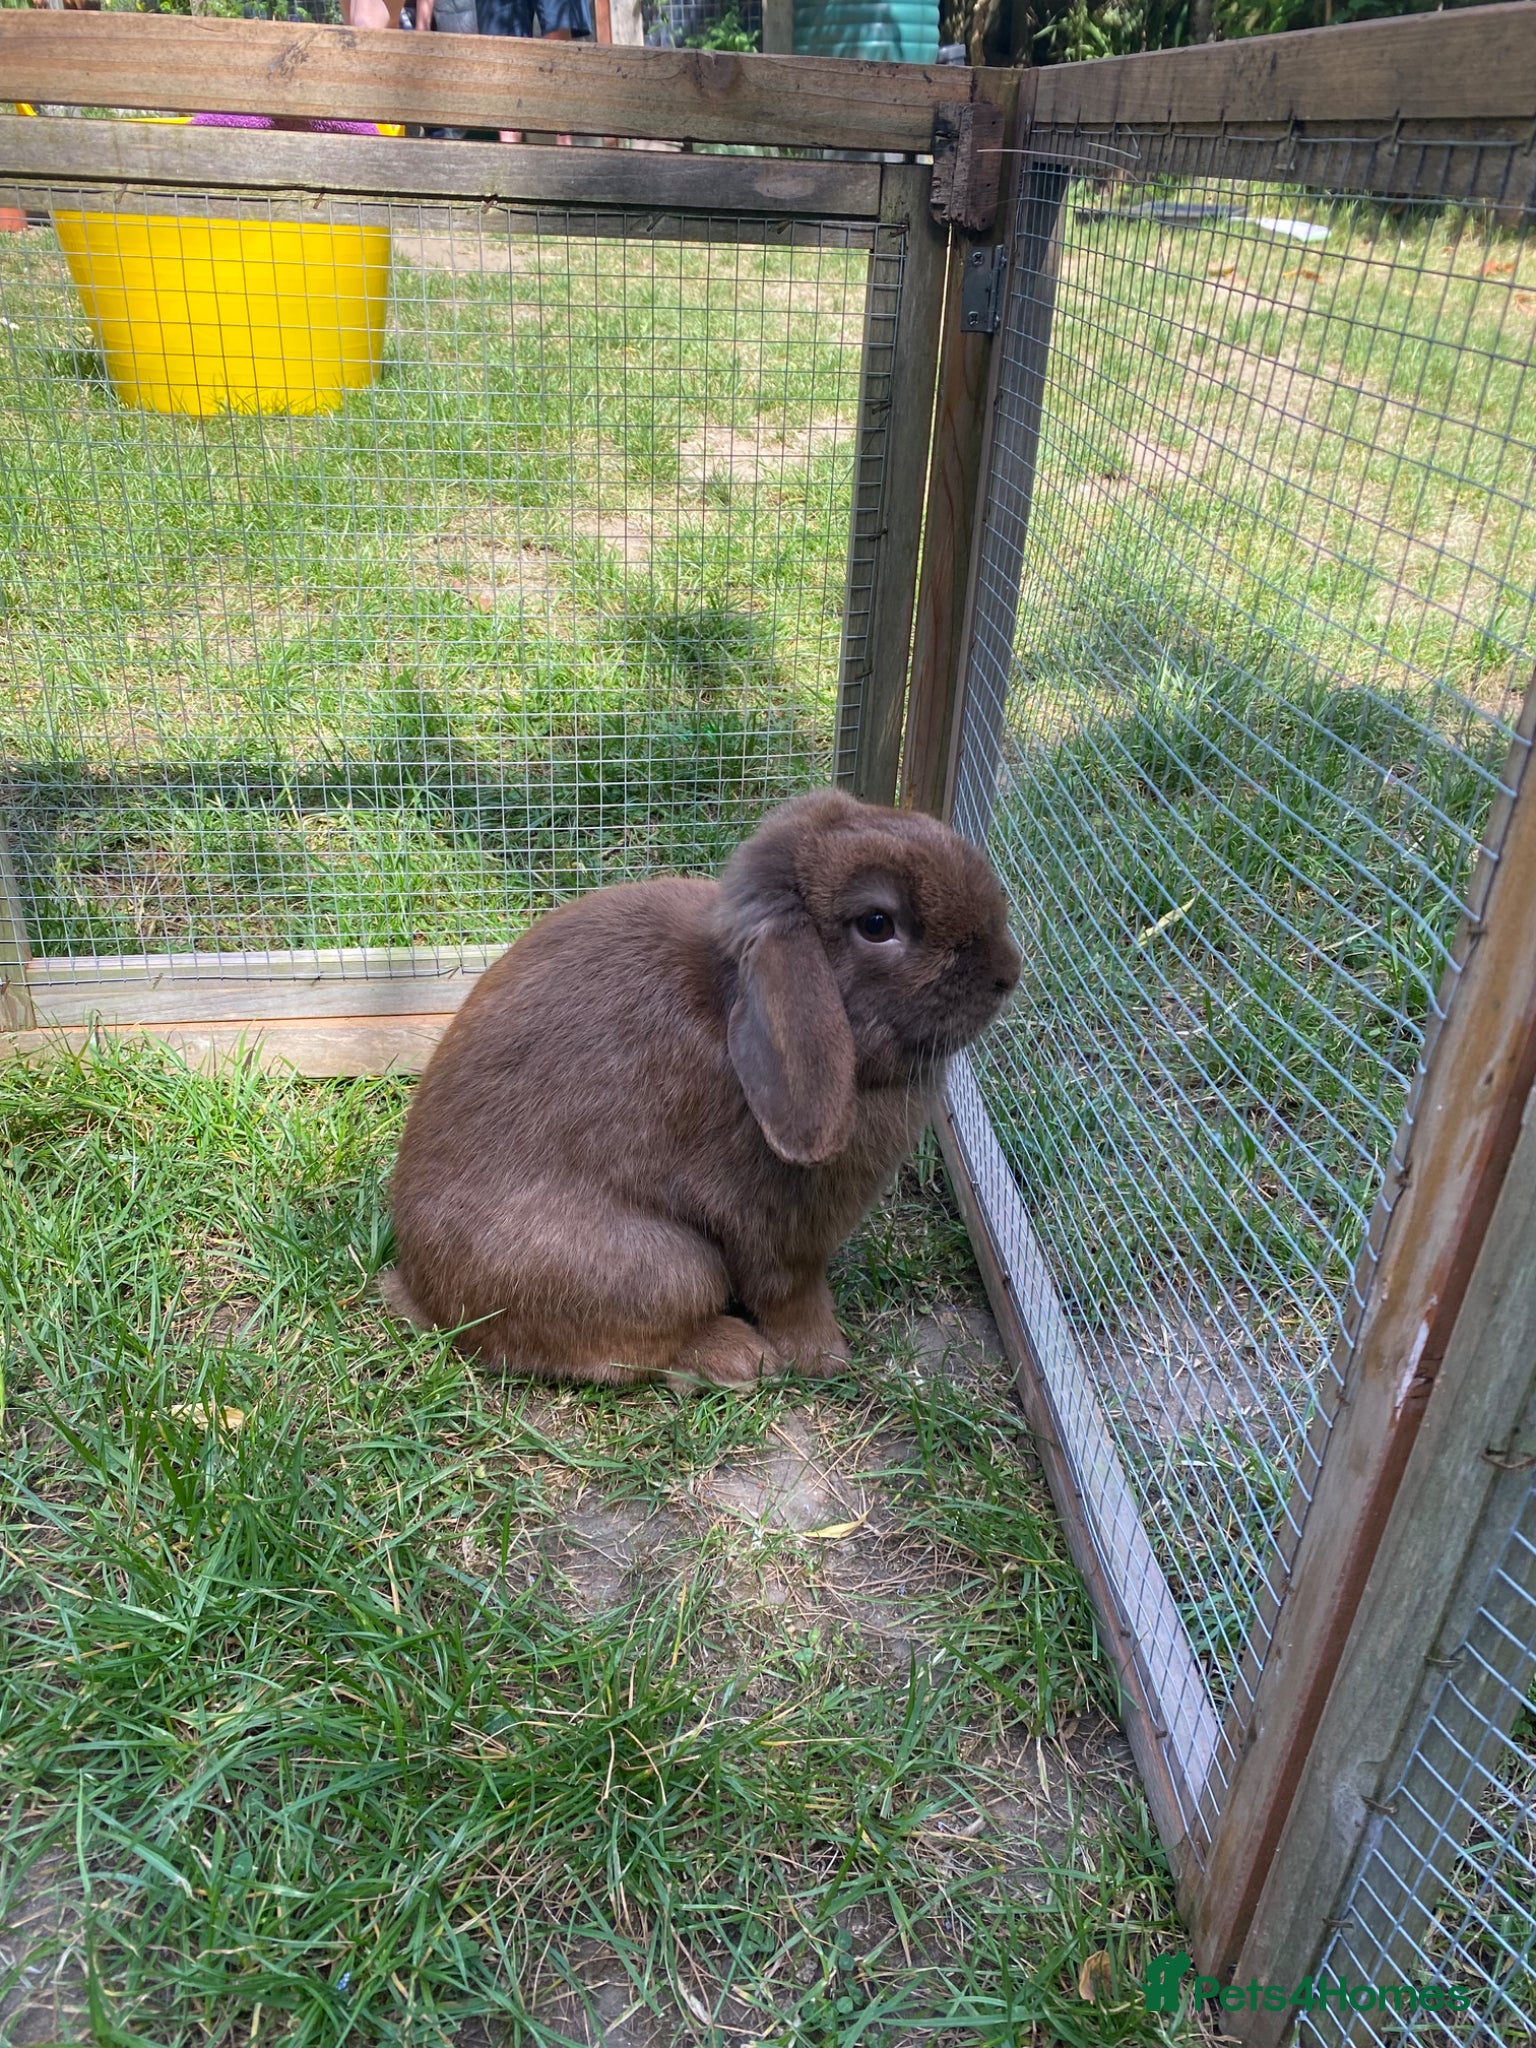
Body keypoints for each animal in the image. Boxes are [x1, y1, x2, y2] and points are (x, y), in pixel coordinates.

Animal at [381, 787, 1021, 1389]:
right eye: (877, 925)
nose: (1007, 974)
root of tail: (422, 1293)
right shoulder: (777, 1238)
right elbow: (791, 1297)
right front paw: (828, 1359)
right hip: (669, 1269)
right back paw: (740, 1359)